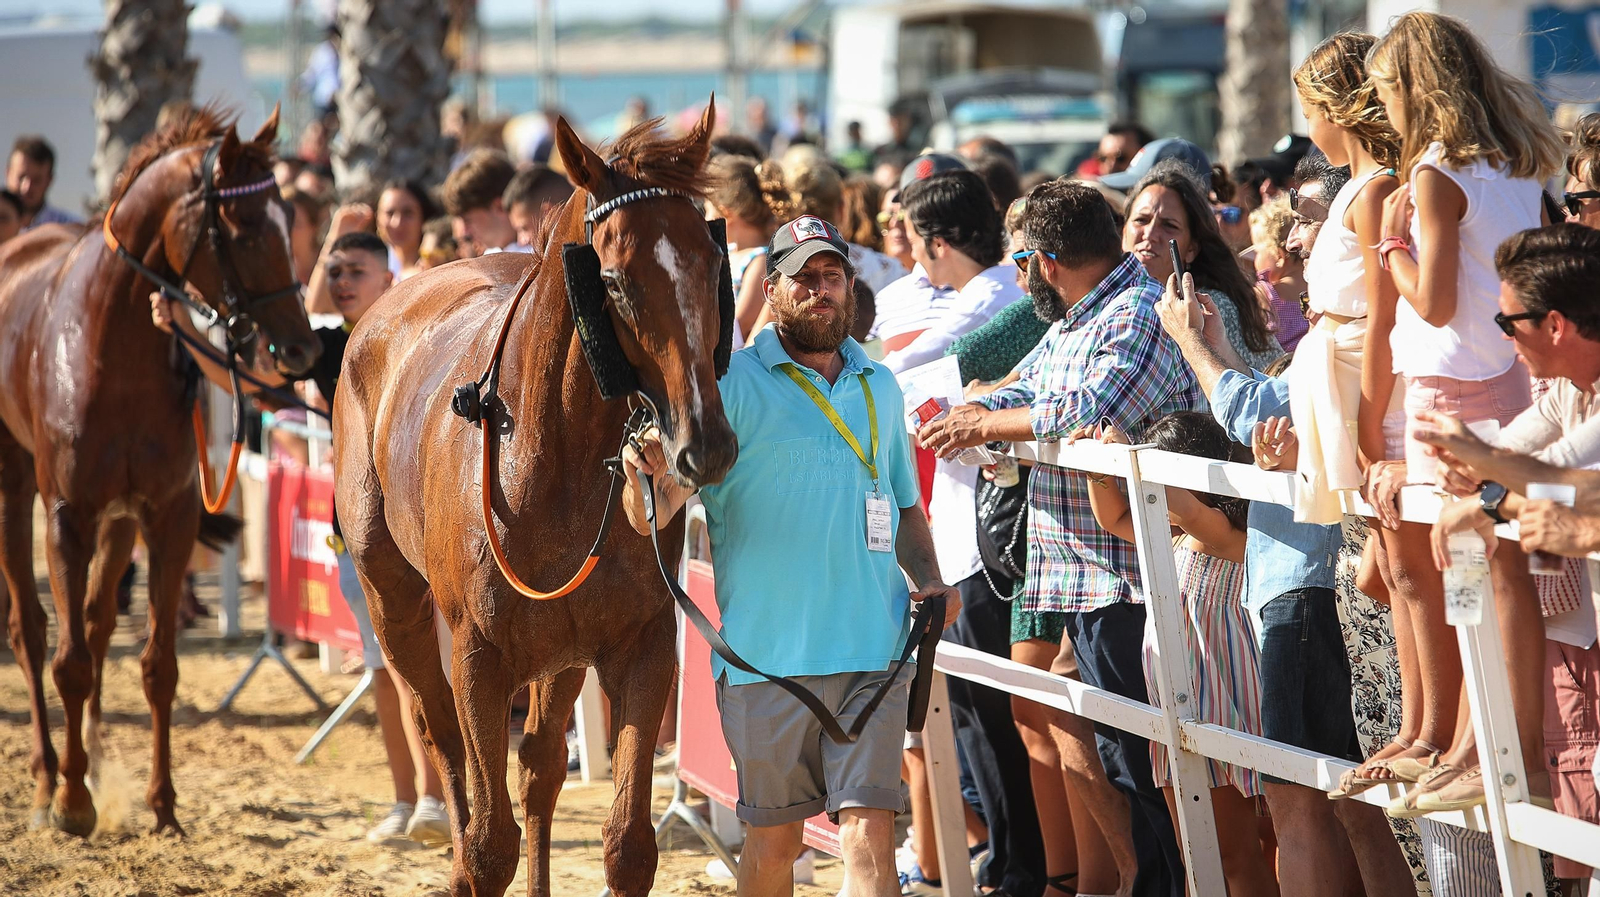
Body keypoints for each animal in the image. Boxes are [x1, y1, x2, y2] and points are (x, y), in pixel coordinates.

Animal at [0, 106, 320, 837]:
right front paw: (71, 802)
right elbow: (67, 661)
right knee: (32, 631)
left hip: (120, 524)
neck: (110, 348)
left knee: (94, 621)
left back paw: (87, 759)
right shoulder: (67, 516)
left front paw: (162, 803)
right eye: (247, 223)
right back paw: (47, 778)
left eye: (291, 217)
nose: (303, 348)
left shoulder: (165, 513)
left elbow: (157, 666)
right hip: (13, 483)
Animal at [333, 101, 736, 896]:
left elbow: (627, 844)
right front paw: (470, 859)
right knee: (443, 737)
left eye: (712, 268)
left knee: (542, 765)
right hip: (395, 601)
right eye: (614, 281)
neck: (554, 459)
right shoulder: (478, 657)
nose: (703, 444)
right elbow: (489, 846)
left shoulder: (641, 646)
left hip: (560, 651)